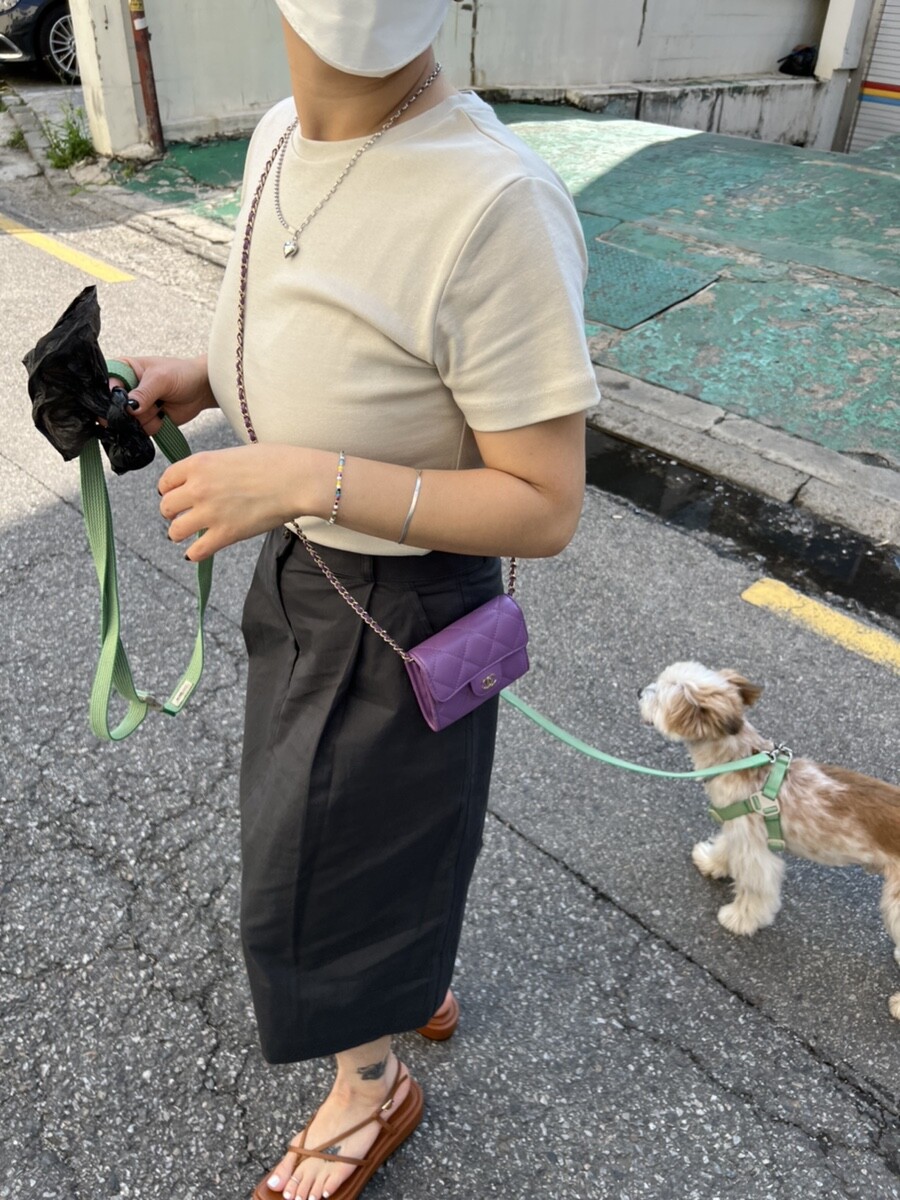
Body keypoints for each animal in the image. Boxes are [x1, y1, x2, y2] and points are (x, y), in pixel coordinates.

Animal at [638, 661, 900, 1020]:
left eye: (659, 694)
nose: (639, 691)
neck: (740, 759)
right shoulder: (737, 827)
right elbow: (725, 847)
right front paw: (711, 862)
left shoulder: (755, 850)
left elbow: (755, 888)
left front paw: (740, 919)